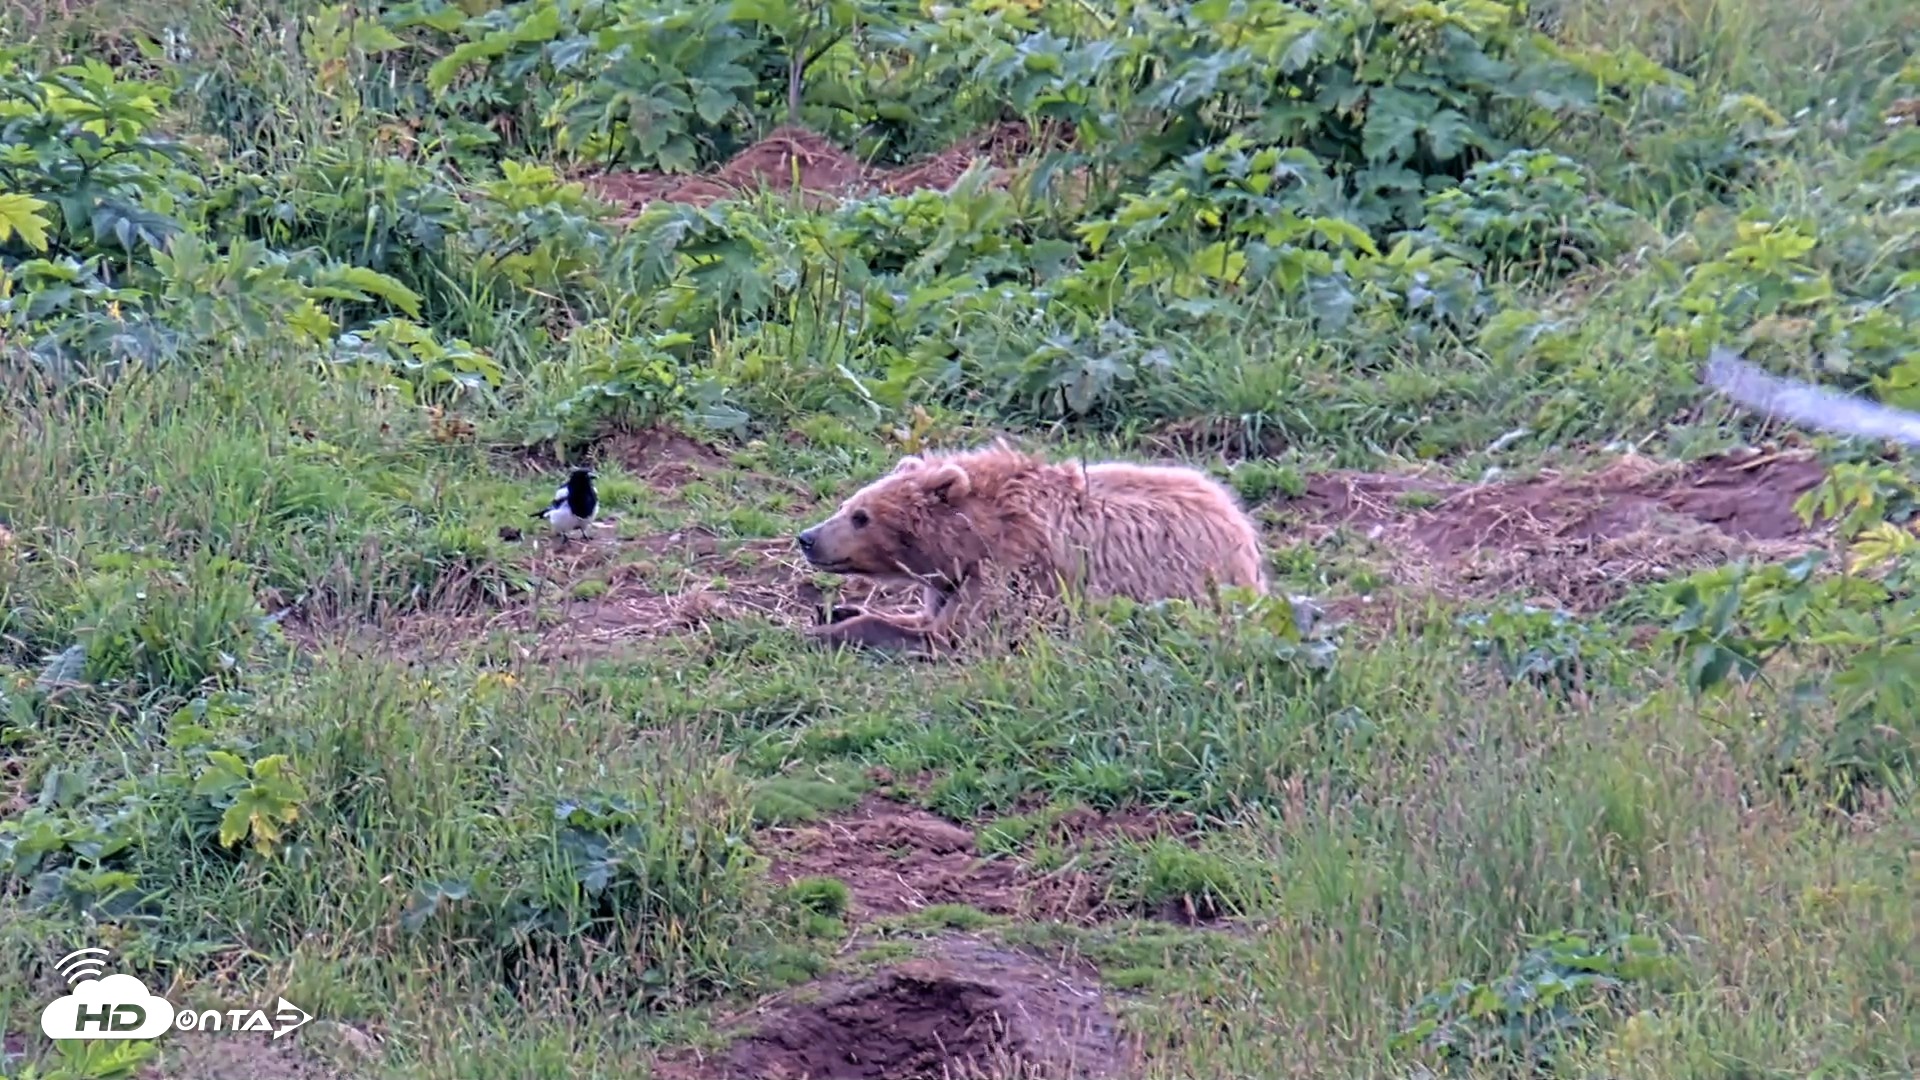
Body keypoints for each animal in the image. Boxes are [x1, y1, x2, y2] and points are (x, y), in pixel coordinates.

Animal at [793, 441, 1269, 654]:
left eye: (861, 516)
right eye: (846, 505)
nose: (808, 538)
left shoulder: (1016, 570)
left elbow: (955, 632)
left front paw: (829, 630)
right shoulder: (953, 579)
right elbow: (928, 615)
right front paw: (836, 610)